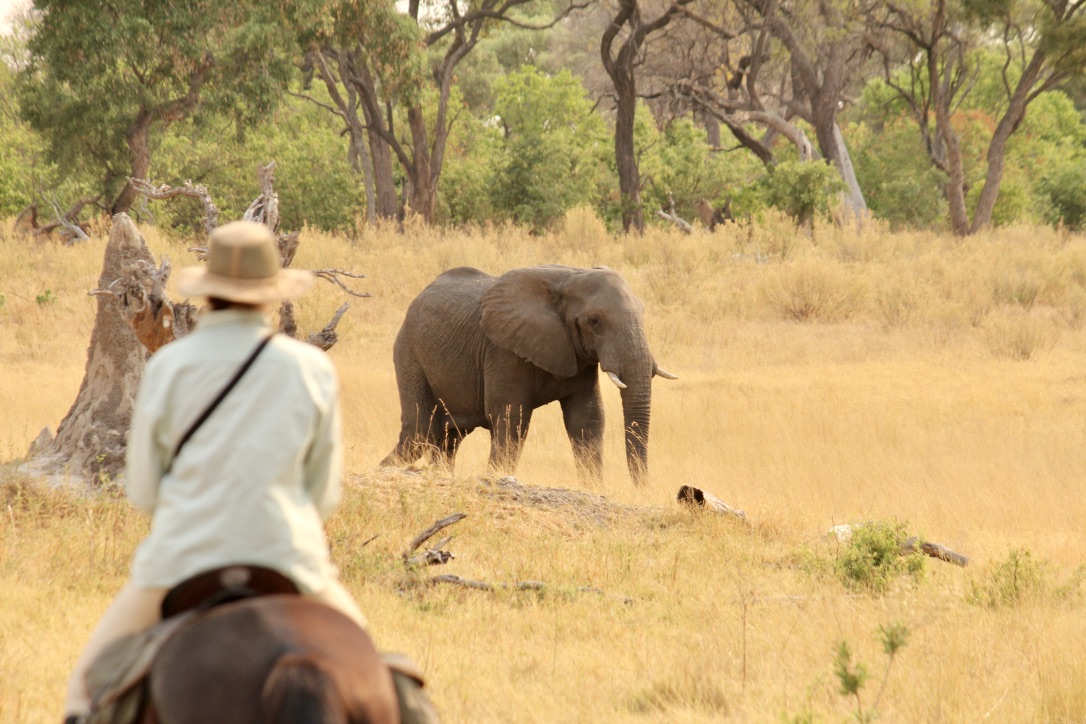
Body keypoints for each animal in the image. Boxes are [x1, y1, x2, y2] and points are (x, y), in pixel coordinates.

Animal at [377, 263, 673, 484]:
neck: (571, 276)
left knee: (448, 438)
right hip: (409, 353)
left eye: (643, 313)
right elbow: (511, 417)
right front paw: (497, 478)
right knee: (419, 432)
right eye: (594, 321)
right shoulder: (504, 350)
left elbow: (587, 418)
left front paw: (594, 489)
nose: (642, 487)